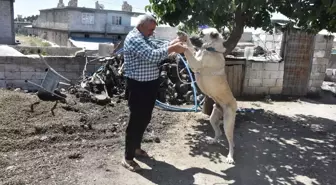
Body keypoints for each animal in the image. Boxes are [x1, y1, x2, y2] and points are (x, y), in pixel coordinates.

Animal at [177, 27, 238, 163]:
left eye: (201, 34)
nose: (191, 36)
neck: (211, 50)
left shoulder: (195, 63)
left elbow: (188, 50)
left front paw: (182, 45)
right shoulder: (195, 57)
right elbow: (191, 48)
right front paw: (184, 37)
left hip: (228, 123)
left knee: (231, 142)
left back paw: (230, 157)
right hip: (213, 118)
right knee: (218, 133)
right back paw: (213, 140)